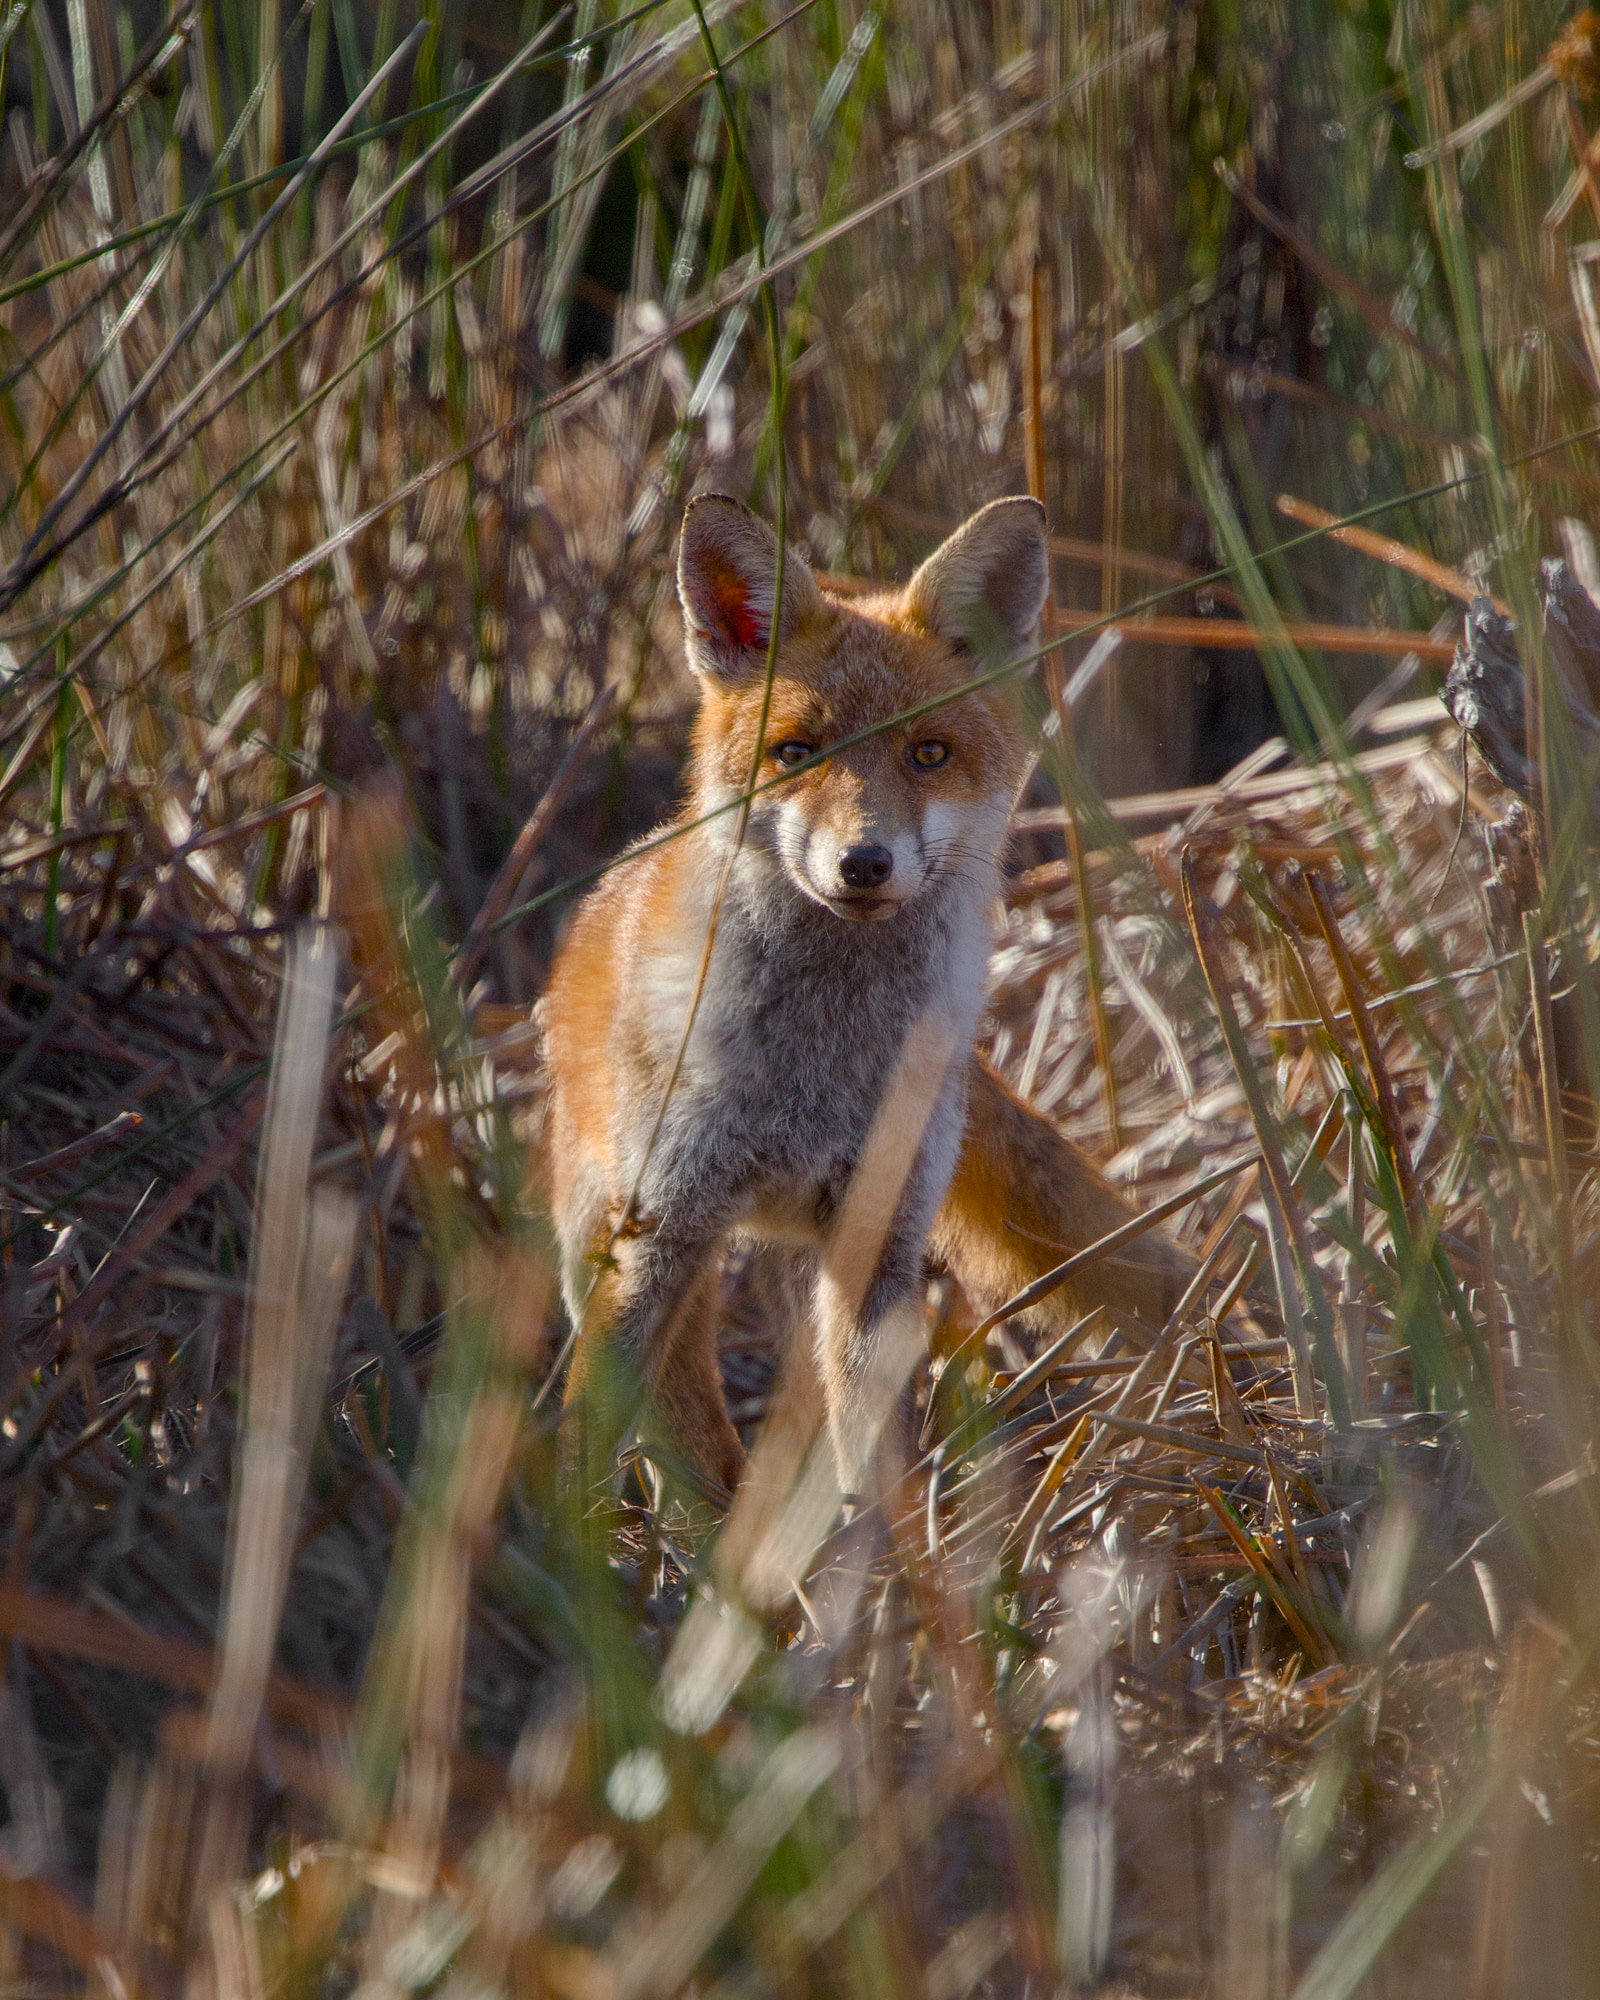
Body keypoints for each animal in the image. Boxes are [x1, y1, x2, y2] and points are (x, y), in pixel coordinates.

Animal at [537, 491, 1191, 1499]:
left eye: (929, 753)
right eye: (795, 751)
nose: (864, 863)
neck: (817, 1063)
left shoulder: (876, 1238)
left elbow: (873, 1456)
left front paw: (882, 1544)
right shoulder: (662, 1227)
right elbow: (586, 1439)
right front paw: (567, 1540)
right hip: (609, 1243)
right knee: (687, 1428)